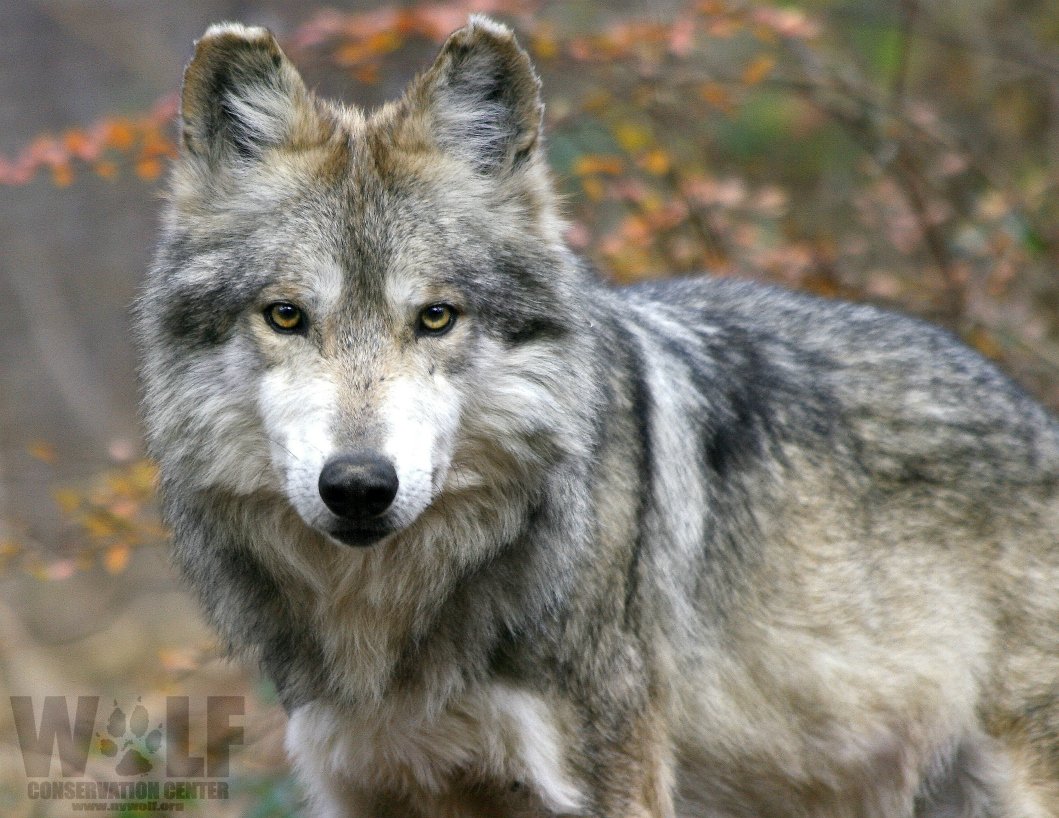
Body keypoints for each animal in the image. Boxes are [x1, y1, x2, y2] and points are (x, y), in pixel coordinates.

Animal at [135, 15, 1059, 818]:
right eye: (286, 316)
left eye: (435, 317)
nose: (359, 486)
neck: (392, 623)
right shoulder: (360, 789)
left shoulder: (615, 782)